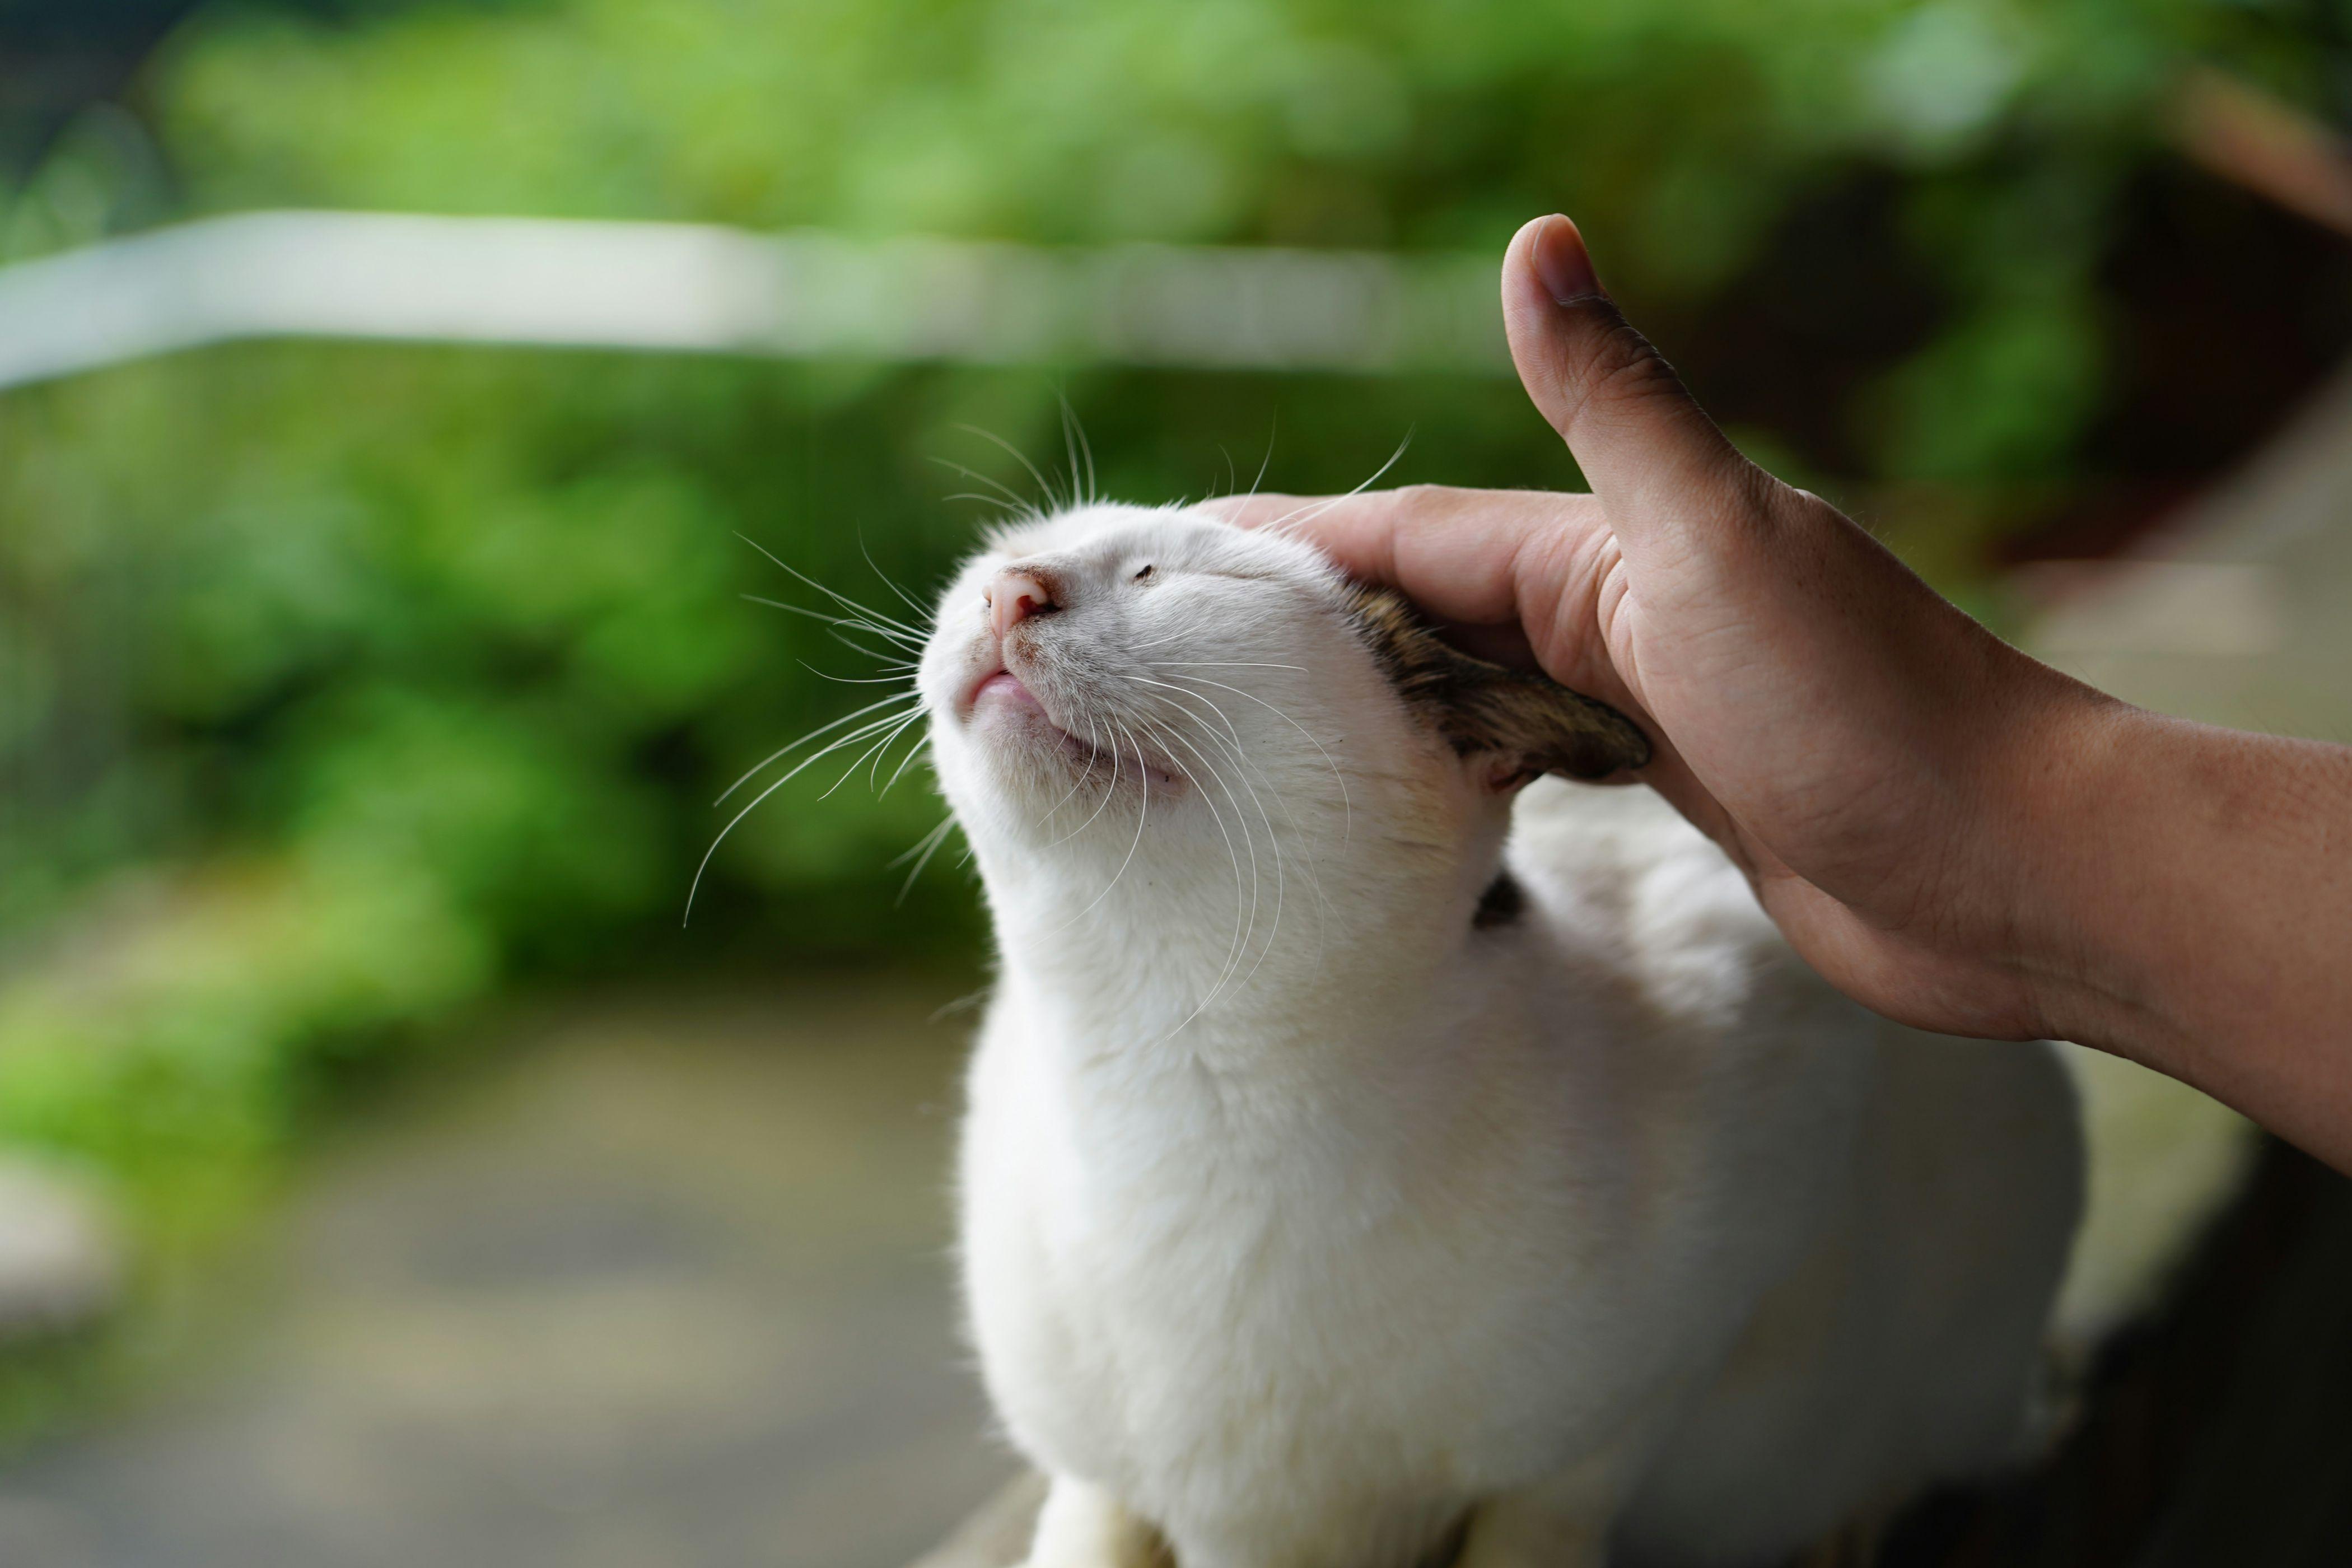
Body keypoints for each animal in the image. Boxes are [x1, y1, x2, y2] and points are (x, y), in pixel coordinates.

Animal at [912, 503, 2079, 1568]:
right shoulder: (1094, 1477)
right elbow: (1090, 1528)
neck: (1177, 1087)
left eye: (1159, 576)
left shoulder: (1693, 1313)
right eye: (1004, 555)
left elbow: (1541, 1521)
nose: (1010, 590)